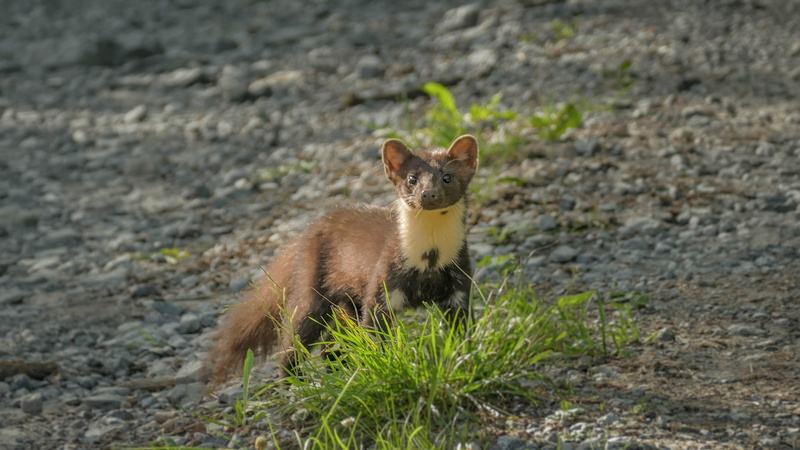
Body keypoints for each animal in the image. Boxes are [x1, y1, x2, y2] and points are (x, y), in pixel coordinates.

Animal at [208, 134, 479, 382]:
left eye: (447, 177)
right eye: (412, 178)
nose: (428, 193)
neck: (429, 258)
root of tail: (308, 229)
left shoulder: (459, 282)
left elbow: (462, 328)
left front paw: (464, 356)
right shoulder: (383, 280)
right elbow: (374, 329)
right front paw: (384, 363)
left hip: (347, 301)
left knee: (332, 342)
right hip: (313, 289)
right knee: (295, 339)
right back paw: (297, 383)